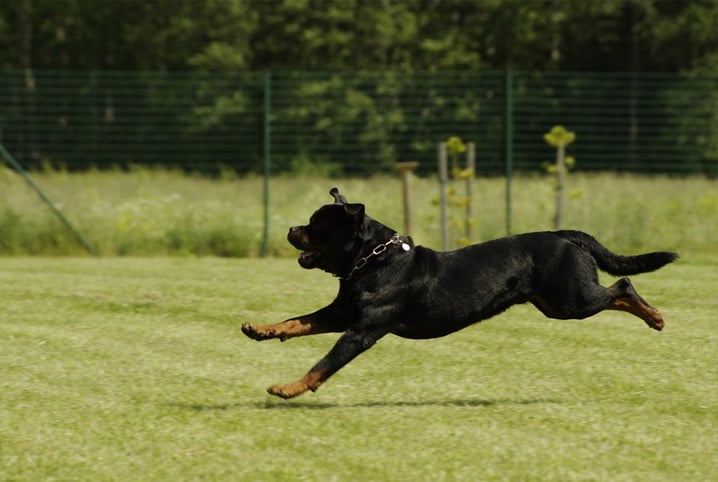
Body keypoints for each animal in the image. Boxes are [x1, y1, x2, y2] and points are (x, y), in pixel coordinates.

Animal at [243, 186, 680, 398]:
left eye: (317, 225)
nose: (291, 230)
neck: (371, 260)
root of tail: (565, 234)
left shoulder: (360, 330)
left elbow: (323, 364)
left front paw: (288, 388)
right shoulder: (340, 315)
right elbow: (297, 321)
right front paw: (261, 329)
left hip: (571, 300)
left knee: (622, 286)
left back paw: (656, 317)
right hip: (555, 303)